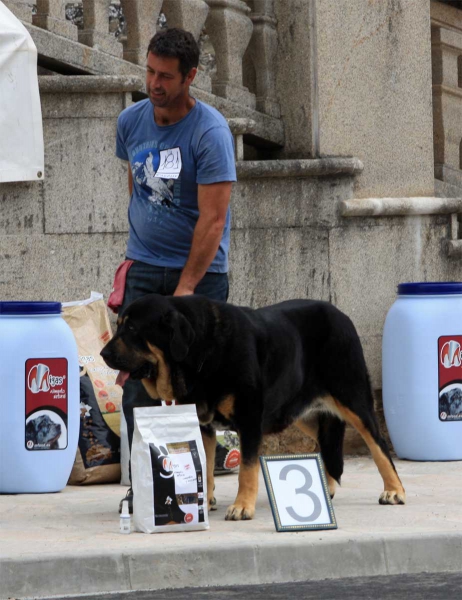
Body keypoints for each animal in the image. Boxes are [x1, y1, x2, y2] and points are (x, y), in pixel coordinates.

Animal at [102, 296, 404, 520]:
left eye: (132, 329)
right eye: (120, 325)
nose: (103, 353)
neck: (203, 351)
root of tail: (340, 313)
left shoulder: (249, 420)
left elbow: (246, 470)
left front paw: (242, 507)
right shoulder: (203, 424)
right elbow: (206, 468)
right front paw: (204, 504)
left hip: (353, 398)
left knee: (378, 445)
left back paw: (394, 490)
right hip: (299, 411)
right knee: (326, 443)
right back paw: (325, 487)